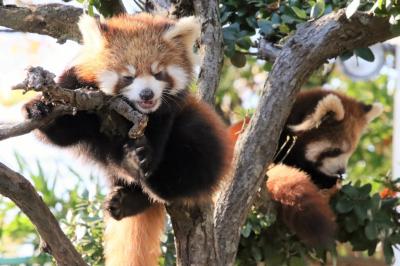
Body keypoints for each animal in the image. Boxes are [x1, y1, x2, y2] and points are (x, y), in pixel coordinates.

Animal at [22, 13, 231, 264]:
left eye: (158, 73)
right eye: (128, 77)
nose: (147, 94)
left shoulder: (165, 114)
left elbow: (157, 142)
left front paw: (143, 159)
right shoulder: (77, 90)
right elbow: (61, 133)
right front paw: (39, 107)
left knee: (195, 148)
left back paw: (154, 186)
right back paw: (127, 198)